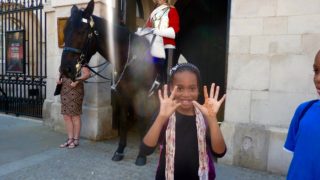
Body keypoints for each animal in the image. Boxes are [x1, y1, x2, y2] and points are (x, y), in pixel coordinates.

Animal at [59, 0, 158, 165]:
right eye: (65, 31)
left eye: (82, 31)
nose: (66, 69)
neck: (130, 58)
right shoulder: (123, 94)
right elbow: (123, 120)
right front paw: (120, 150)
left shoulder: (142, 95)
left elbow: (142, 118)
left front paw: (141, 154)